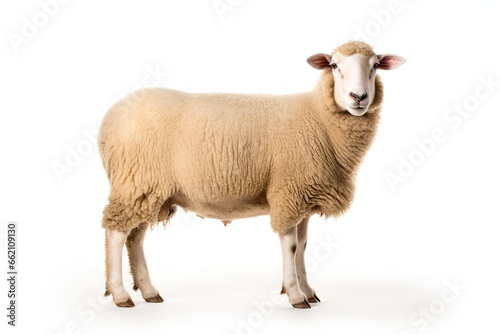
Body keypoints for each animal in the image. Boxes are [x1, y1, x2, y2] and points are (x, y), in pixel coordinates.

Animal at [98, 40, 406, 310]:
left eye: (375, 65)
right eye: (334, 65)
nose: (359, 98)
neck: (319, 118)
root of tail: (110, 118)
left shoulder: (303, 196)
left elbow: (304, 247)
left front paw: (308, 290)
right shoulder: (288, 192)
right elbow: (291, 246)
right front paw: (295, 295)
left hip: (146, 190)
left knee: (135, 238)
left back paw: (149, 291)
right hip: (135, 183)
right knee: (116, 233)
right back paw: (120, 294)